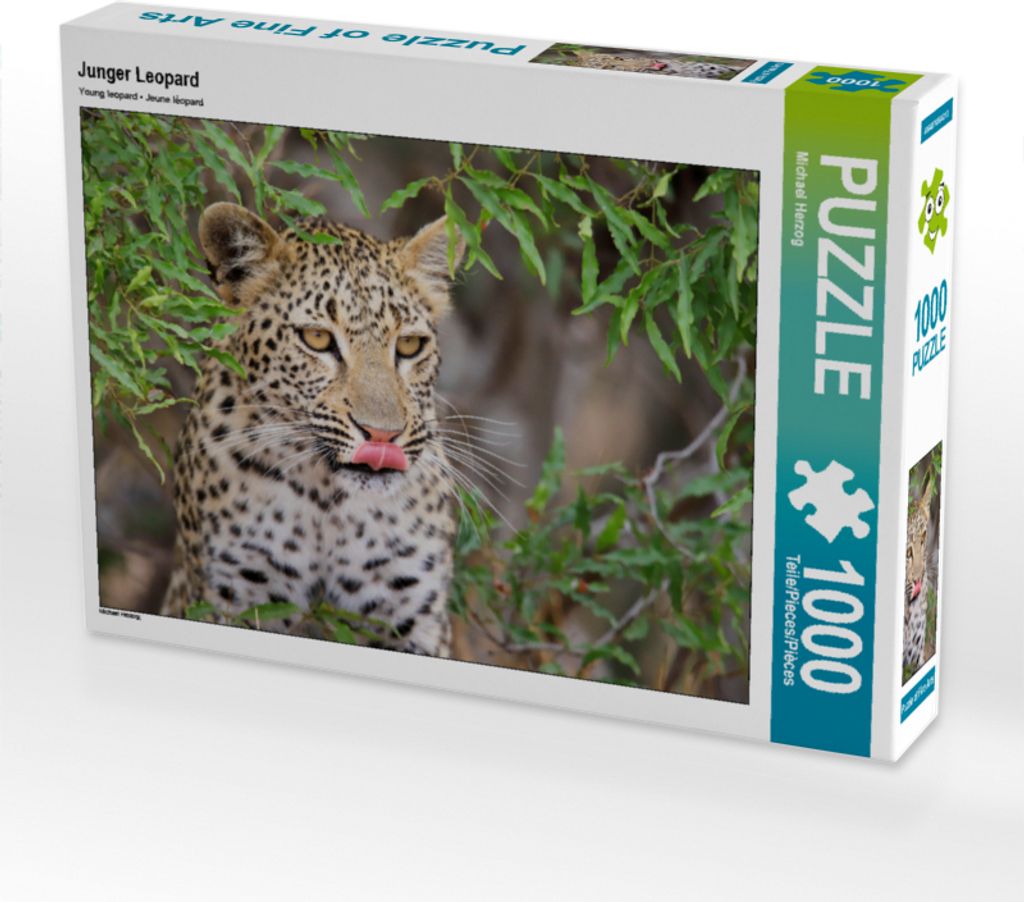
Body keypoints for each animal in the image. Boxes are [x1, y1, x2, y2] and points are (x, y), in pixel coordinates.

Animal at [160, 201, 466, 657]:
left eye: (410, 346)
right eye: (318, 339)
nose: (382, 436)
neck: (327, 503)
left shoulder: (413, 616)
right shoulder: (232, 596)